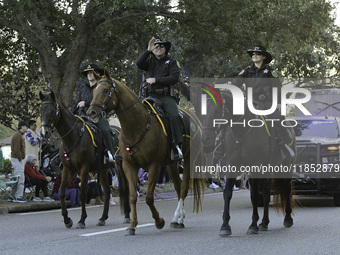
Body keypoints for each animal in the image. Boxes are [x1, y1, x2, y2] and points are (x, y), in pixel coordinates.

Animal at [87, 68, 205, 236]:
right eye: (93, 90)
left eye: (105, 90)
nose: (91, 113)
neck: (137, 127)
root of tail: (194, 118)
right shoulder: (129, 166)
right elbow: (132, 196)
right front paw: (132, 226)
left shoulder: (154, 166)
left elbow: (149, 197)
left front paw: (159, 221)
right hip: (171, 164)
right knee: (178, 186)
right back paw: (178, 219)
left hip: (189, 160)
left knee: (183, 188)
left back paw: (178, 218)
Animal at [201, 90, 296, 237]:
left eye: (216, 111)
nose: (205, 138)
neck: (241, 131)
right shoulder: (231, 166)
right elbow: (227, 193)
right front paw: (225, 226)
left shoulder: (254, 168)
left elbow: (254, 196)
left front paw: (253, 225)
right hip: (268, 170)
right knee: (266, 194)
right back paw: (264, 223)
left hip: (286, 167)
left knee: (286, 190)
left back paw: (287, 219)